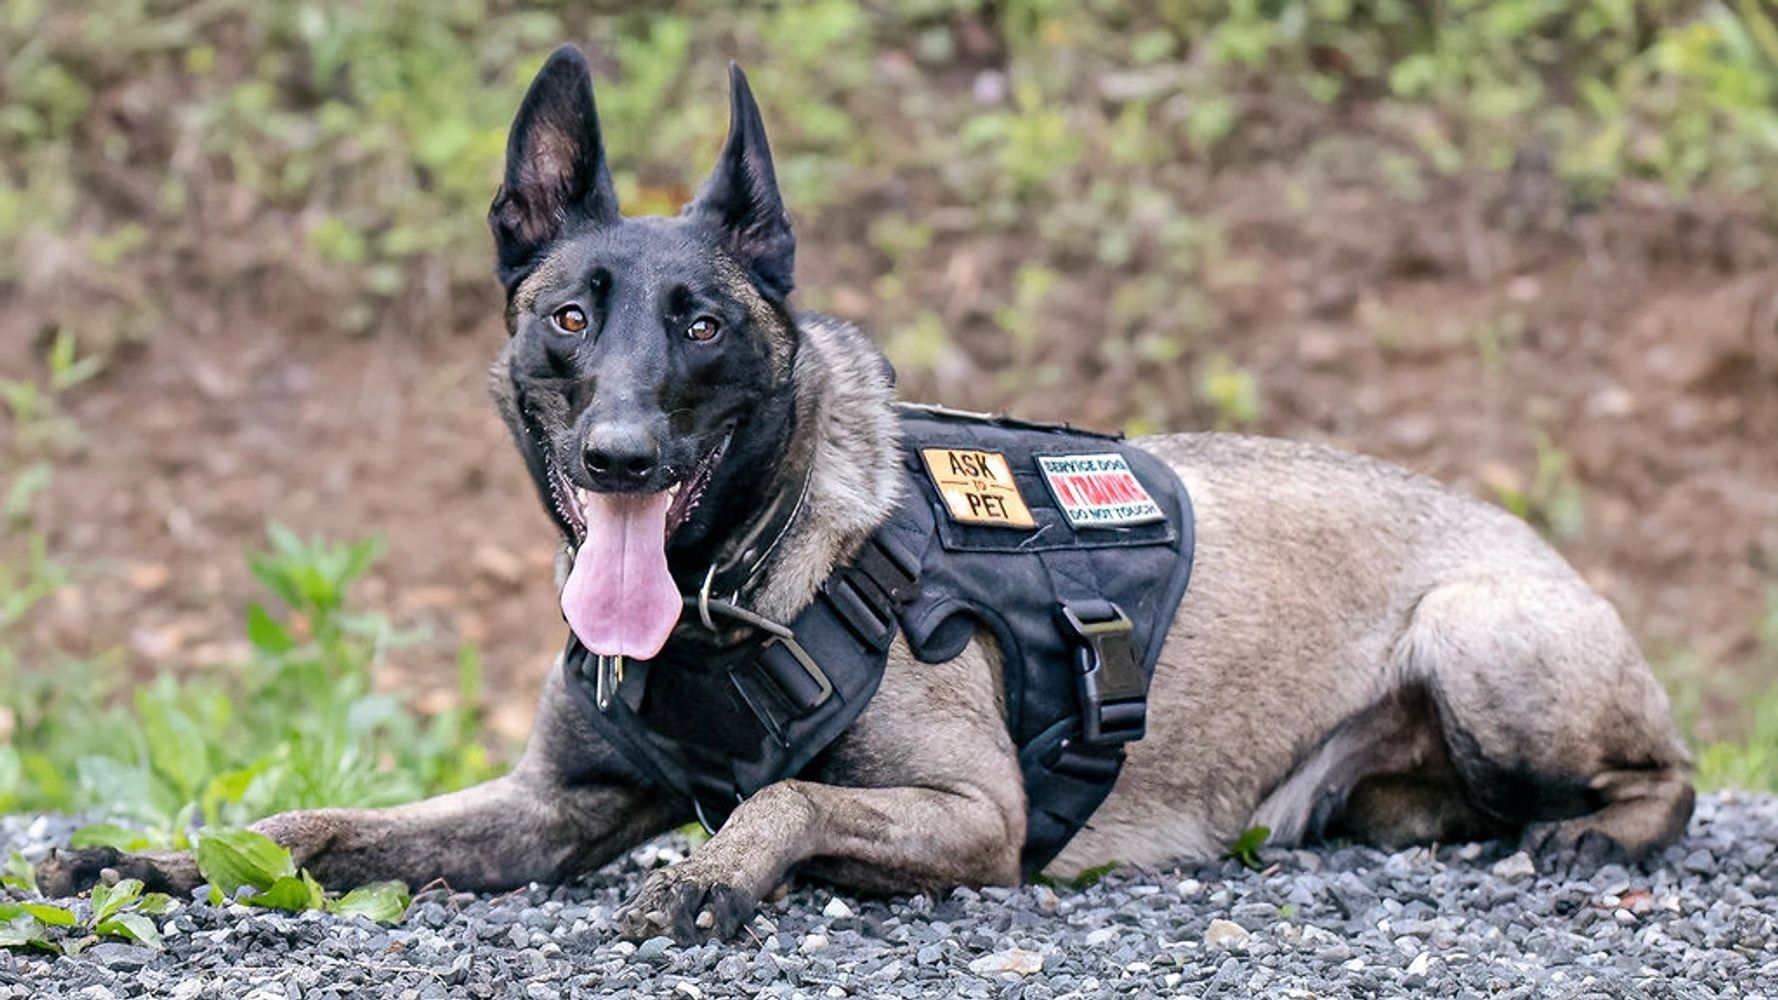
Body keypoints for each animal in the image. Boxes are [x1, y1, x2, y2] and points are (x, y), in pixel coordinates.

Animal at [38, 44, 1692, 932]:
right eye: (567, 314)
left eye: (702, 322)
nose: (619, 456)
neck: (729, 592)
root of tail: (1523, 534)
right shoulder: (539, 810)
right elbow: (313, 827)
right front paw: (166, 854)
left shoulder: (973, 817)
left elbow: (782, 801)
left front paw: (716, 875)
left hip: (1481, 632)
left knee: (1661, 779)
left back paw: (1591, 835)